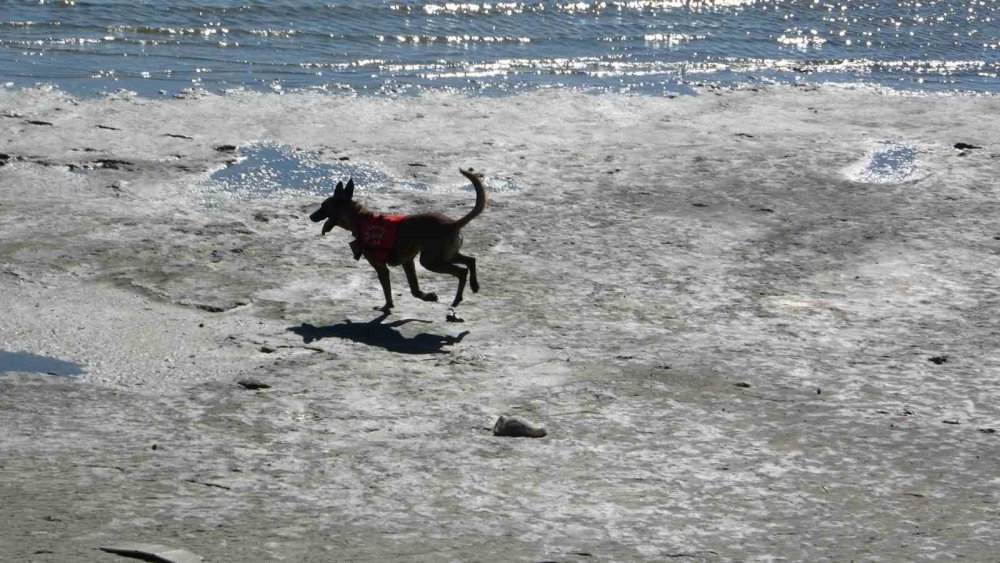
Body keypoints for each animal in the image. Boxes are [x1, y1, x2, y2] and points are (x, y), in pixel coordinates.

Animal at [310, 167, 486, 320]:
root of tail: (453, 224)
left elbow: (387, 291)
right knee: (471, 260)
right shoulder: (408, 262)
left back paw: (457, 299)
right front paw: (427, 296)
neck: (361, 218)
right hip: (444, 255)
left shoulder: (381, 268)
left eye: (323, 207)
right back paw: (474, 286)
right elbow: (414, 290)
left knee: (462, 271)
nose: (311, 216)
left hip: (431, 261)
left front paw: (386, 307)